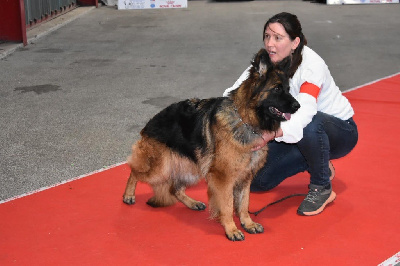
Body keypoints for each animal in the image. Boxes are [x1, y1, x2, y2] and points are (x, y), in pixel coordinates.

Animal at [122, 47, 300, 241]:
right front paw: (231, 229)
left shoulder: (245, 177)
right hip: (160, 169)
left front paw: (248, 223)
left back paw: (191, 203)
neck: (245, 119)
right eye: (277, 88)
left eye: (289, 89)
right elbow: (228, 205)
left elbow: (244, 203)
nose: (298, 106)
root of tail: (150, 122)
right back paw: (128, 195)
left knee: (174, 188)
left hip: (191, 168)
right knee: (134, 170)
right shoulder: (223, 177)